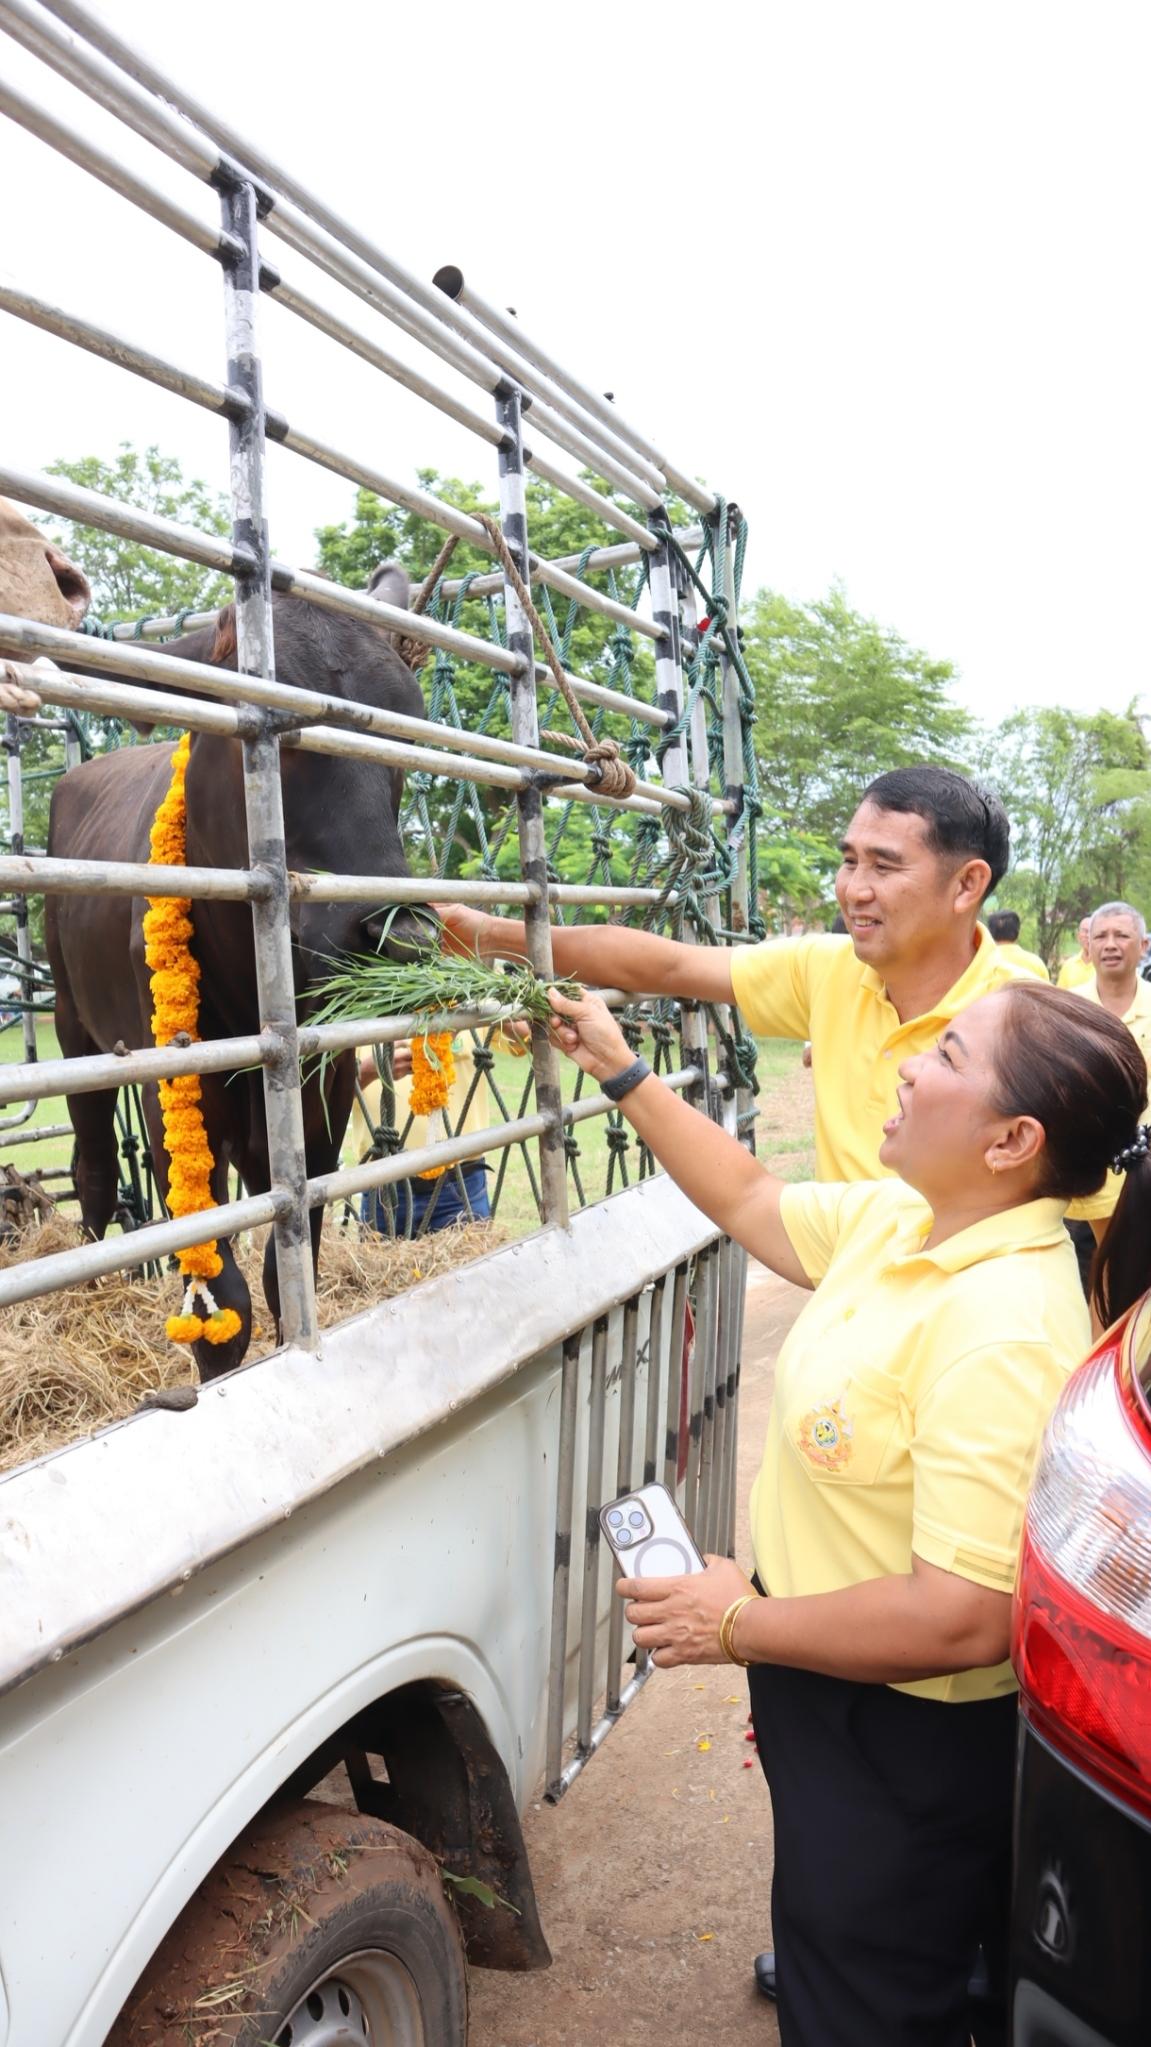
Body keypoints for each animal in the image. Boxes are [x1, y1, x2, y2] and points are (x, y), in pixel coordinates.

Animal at [43, 569, 430, 1383]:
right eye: (271, 732)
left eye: (408, 734)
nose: (399, 933)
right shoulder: (180, 1094)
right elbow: (222, 1301)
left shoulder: (324, 1092)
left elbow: (290, 1273)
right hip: (72, 1026)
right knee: (92, 1165)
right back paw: (90, 1288)